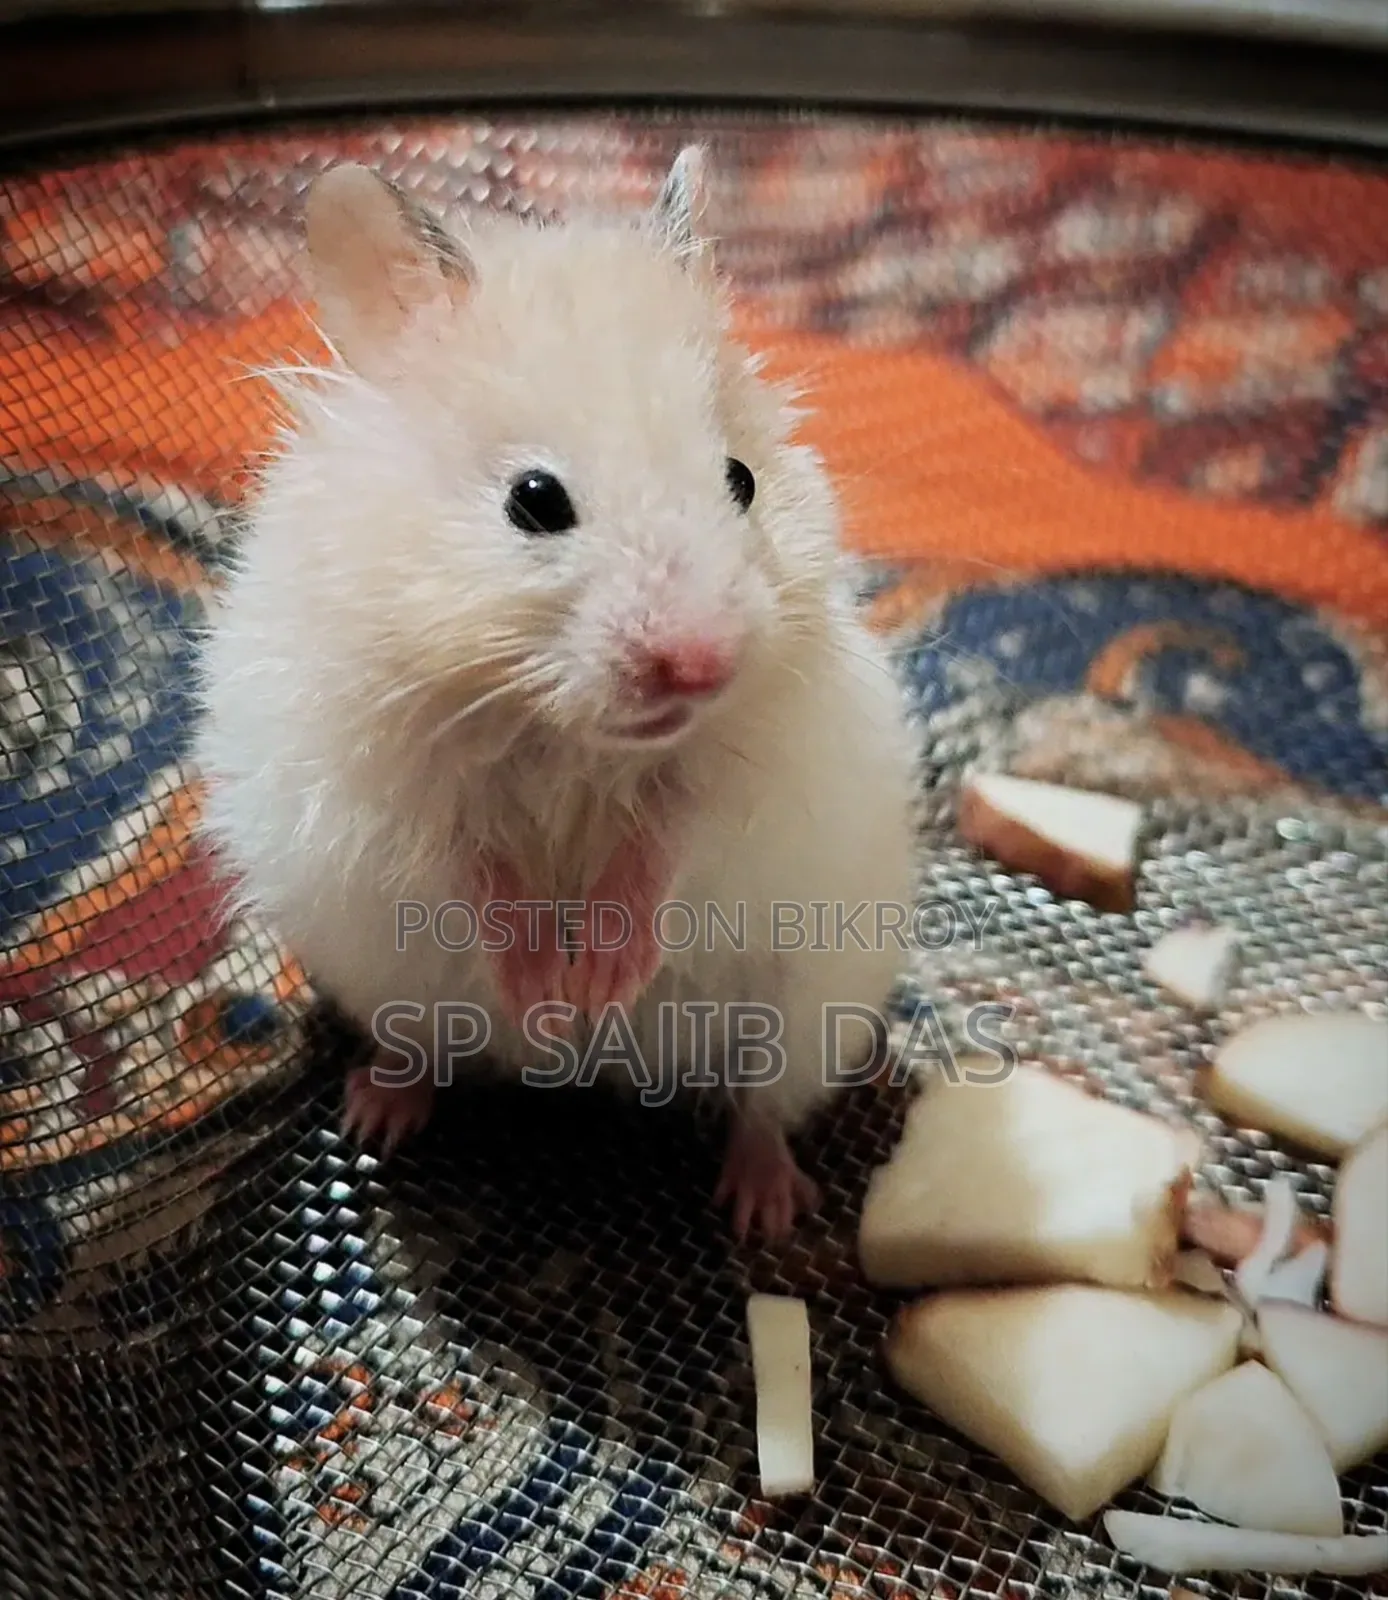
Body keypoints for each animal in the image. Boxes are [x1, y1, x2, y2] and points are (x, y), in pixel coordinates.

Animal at [192, 148, 919, 1240]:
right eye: (533, 501)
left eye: (741, 479)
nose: (702, 663)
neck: (568, 733)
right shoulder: (399, 793)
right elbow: (482, 873)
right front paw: (549, 996)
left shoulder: (732, 782)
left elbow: (661, 848)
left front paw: (597, 984)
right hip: (383, 980)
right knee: (423, 1050)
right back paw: (382, 1115)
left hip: (801, 1015)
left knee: (760, 1107)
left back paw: (761, 1209)